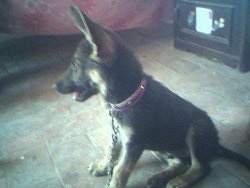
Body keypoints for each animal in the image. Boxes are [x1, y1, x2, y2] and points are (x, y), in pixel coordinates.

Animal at [54, 5, 250, 187]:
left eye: (75, 66)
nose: (54, 86)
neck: (131, 96)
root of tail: (216, 144)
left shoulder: (134, 144)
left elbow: (120, 170)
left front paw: (112, 180)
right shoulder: (120, 135)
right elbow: (111, 150)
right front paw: (102, 166)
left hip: (196, 129)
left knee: (201, 166)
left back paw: (180, 180)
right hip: (158, 144)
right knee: (181, 162)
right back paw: (160, 177)